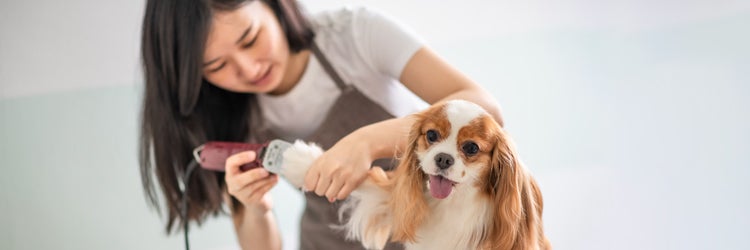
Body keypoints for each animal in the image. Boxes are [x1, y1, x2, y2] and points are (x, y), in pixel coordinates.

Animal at [282, 99, 552, 250]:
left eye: (471, 148)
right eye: (431, 135)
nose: (443, 158)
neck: (453, 203)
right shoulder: (395, 197)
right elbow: (371, 184)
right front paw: (301, 162)